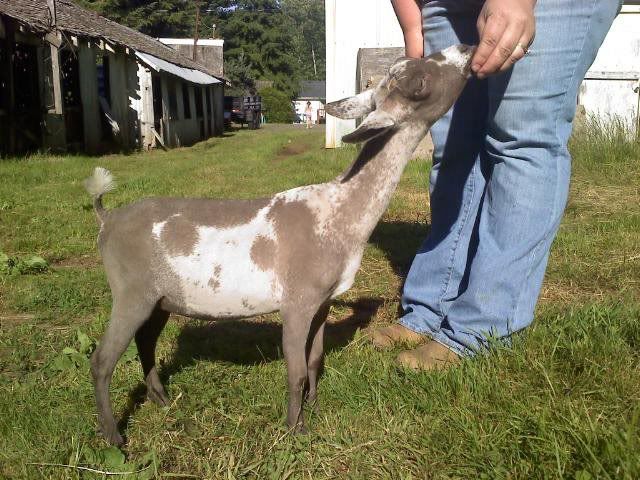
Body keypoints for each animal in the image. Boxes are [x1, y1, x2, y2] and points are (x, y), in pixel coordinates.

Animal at [85, 45, 475, 445]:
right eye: (420, 82)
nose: (465, 48)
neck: (339, 209)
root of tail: (107, 218)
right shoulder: (297, 302)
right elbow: (296, 371)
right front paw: (295, 429)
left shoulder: (323, 302)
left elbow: (315, 359)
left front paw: (313, 407)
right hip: (131, 292)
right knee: (102, 360)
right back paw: (113, 436)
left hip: (160, 298)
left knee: (145, 341)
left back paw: (160, 398)